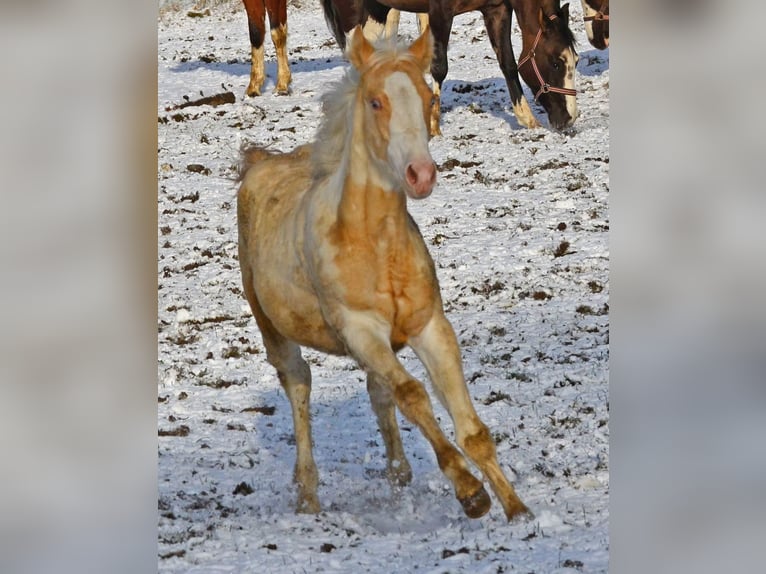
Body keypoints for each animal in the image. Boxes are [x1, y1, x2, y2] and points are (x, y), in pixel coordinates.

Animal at [237, 27, 532, 524]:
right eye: (376, 102)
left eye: (428, 97)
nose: (421, 174)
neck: (373, 243)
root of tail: (259, 162)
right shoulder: (360, 329)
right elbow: (413, 394)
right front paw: (471, 492)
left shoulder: (430, 326)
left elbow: (468, 425)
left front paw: (518, 510)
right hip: (272, 328)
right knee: (299, 384)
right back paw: (308, 495)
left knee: (377, 389)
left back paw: (397, 472)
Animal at [320, 0, 580, 133]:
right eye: (556, 63)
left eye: (576, 61)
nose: (569, 118)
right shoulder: (440, 12)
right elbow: (440, 68)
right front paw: (434, 125)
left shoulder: (497, 9)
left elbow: (508, 63)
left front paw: (526, 118)